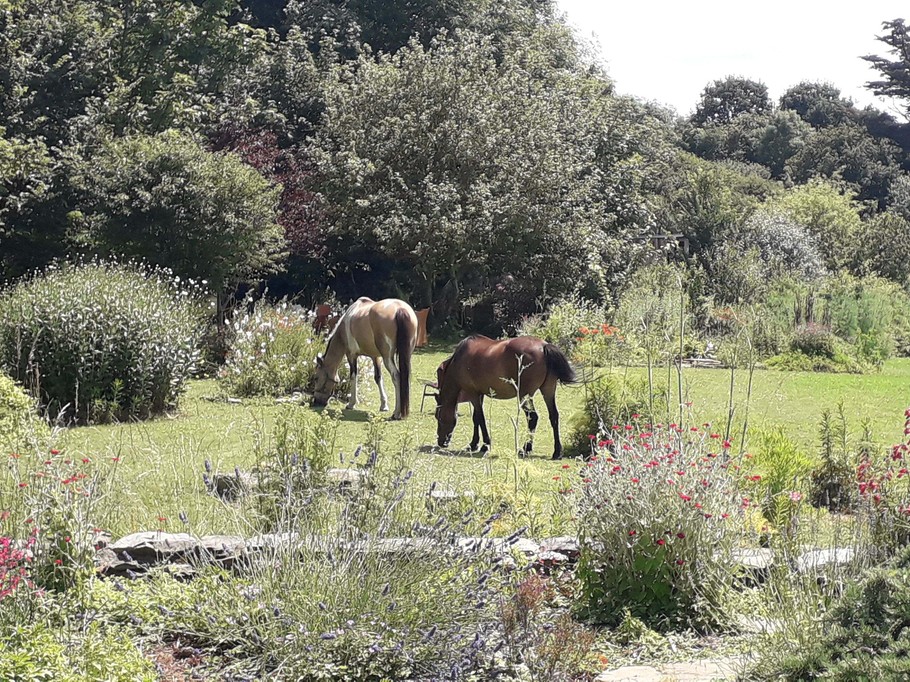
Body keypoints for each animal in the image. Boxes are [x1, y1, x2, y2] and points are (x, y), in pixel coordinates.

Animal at [435, 335, 578, 459]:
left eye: (439, 417)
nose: (441, 442)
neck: (460, 360)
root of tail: (544, 346)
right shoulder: (480, 394)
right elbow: (476, 419)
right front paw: (473, 444)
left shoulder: (473, 394)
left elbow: (480, 419)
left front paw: (485, 445)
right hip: (548, 390)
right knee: (554, 416)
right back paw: (557, 452)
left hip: (525, 395)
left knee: (533, 417)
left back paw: (526, 448)